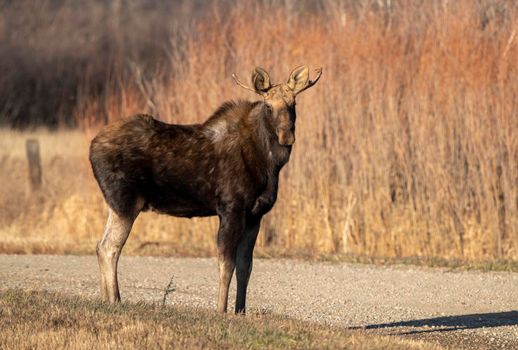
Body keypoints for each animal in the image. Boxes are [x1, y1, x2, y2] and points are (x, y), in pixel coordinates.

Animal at [91, 64, 322, 314]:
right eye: (268, 106)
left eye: (293, 103)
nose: (286, 136)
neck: (269, 164)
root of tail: (91, 148)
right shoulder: (231, 208)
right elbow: (226, 263)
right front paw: (221, 310)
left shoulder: (255, 214)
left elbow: (246, 266)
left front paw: (240, 312)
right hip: (125, 202)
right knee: (110, 247)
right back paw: (115, 299)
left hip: (115, 206)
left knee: (100, 245)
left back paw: (105, 299)